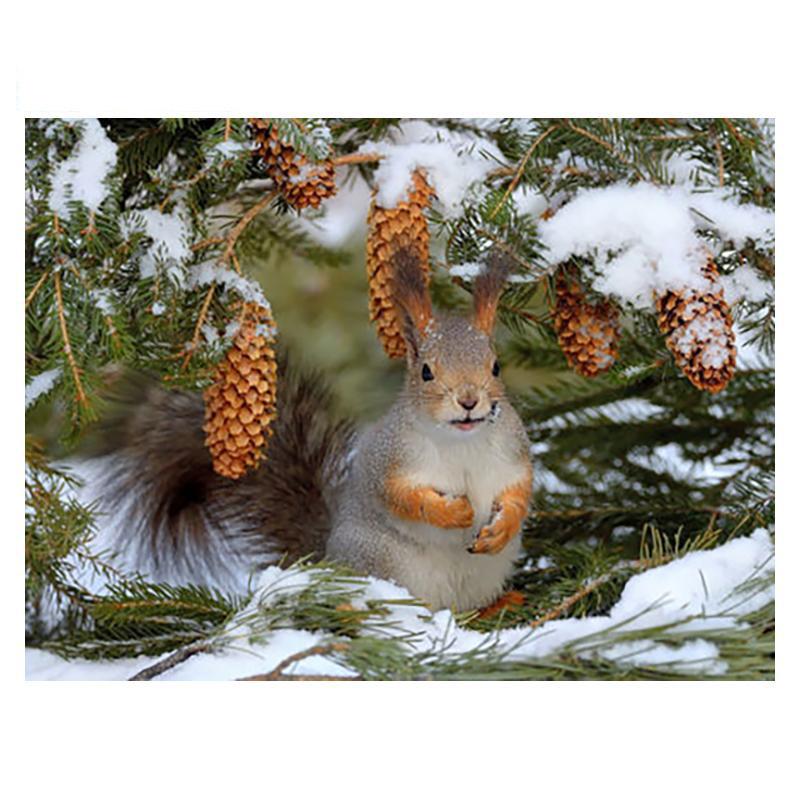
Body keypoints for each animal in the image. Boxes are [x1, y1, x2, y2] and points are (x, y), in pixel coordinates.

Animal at [91, 246, 533, 612]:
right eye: (426, 372)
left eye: (495, 366)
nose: (470, 400)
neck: (462, 442)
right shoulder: (390, 458)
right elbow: (401, 497)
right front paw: (452, 510)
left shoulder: (513, 453)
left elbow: (520, 492)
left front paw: (503, 525)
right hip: (380, 560)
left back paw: (499, 603)